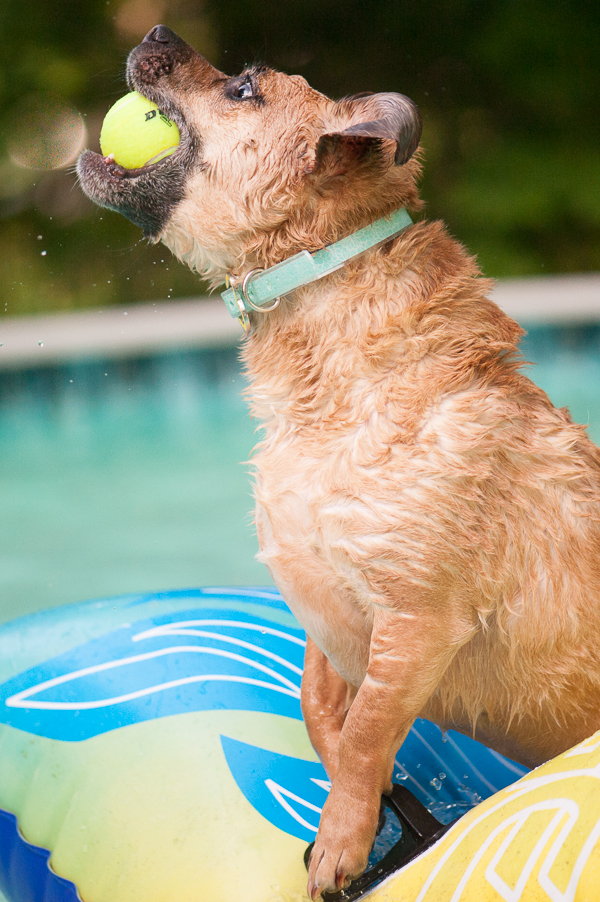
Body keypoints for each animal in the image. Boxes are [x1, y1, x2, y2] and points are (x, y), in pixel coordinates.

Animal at [78, 25, 600, 899]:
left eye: (245, 89)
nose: (155, 31)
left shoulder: (416, 622)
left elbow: (362, 733)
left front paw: (342, 844)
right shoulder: (326, 609)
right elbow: (323, 716)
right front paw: (369, 811)